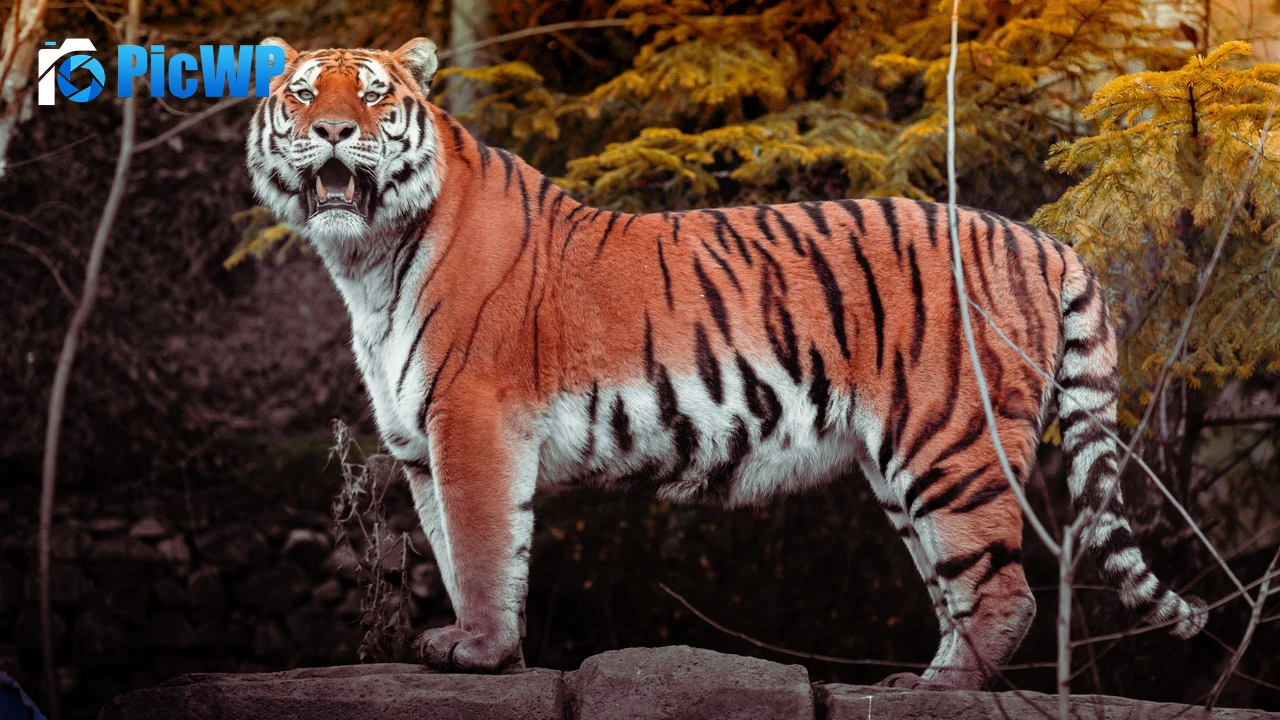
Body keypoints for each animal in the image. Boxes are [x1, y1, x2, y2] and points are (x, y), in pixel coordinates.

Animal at [245, 37, 1207, 689]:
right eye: (304, 95)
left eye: (373, 96)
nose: (332, 130)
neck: (366, 259)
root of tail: (1045, 239)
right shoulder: (419, 443)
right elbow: (453, 549)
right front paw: (493, 654)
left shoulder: (471, 418)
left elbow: (480, 550)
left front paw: (477, 651)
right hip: (903, 469)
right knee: (960, 586)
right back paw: (922, 678)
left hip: (953, 442)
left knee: (1007, 592)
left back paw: (942, 692)